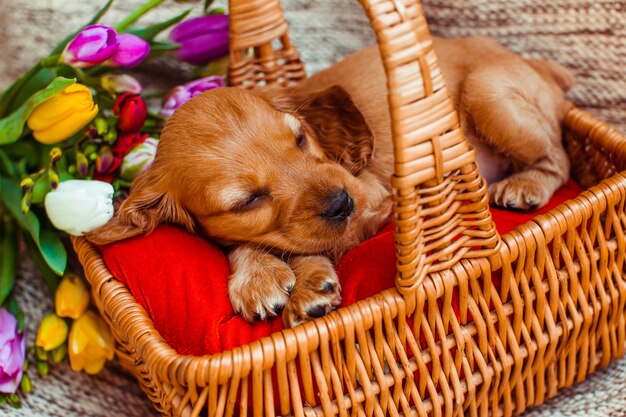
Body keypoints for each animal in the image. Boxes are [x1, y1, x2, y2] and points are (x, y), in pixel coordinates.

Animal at [88, 36, 572, 324]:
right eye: (247, 200)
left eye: (300, 139)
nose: (342, 203)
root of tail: (534, 63)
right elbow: (258, 240)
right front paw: (260, 275)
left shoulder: (373, 196)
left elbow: (305, 243)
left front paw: (298, 285)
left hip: (487, 93)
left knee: (559, 156)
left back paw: (525, 186)